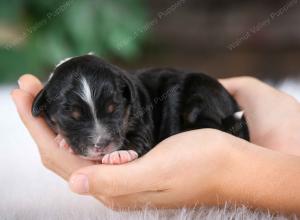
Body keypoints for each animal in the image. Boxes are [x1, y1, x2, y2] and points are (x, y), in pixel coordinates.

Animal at [32, 54, 248, 164]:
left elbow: (138, 136)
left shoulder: (142, 120)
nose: (101, 145)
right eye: (73, 117)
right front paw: (64, 140)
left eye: (114, 109)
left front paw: (120, 153)